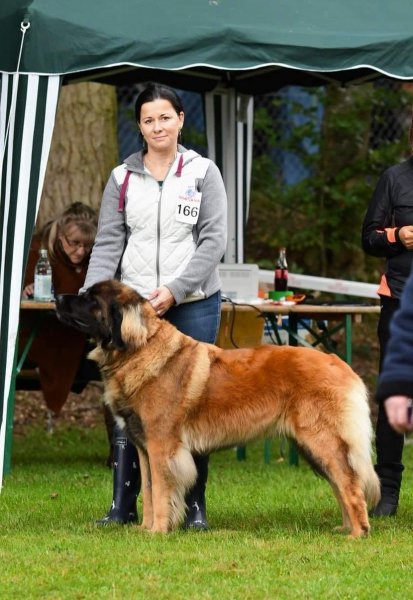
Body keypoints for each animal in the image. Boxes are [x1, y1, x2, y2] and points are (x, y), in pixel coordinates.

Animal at [55, 278, 380, 536]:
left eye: (91, 299)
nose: (57, 298)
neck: (139, 350)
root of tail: (339, 363)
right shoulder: (144, 448)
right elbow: (146, 490)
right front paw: (146, 528)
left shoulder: (162, 447)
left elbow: (160, 491)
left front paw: (158, 531)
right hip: (314, 446)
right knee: (342, 481)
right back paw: (345, 527)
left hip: (321, 440)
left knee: (349, 482)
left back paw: (357, 533)